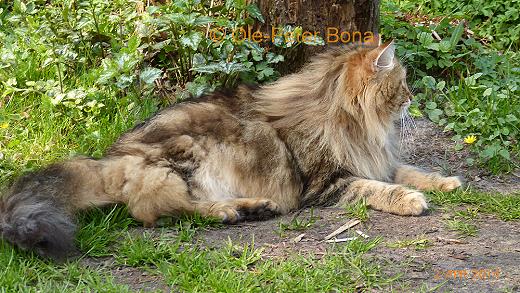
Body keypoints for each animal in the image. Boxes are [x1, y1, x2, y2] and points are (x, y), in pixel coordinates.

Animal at [1, 40, 464, 258]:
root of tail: (107, 160)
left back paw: (252, 207)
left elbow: (411, 170)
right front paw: (412, 200)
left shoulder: (377, 160)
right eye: (402, 84)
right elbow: (379, 189)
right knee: (164, 211)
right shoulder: (329, 182)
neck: (350, 121)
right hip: (184, 160)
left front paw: (447, 182)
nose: (412, 97)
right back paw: (234, 210)